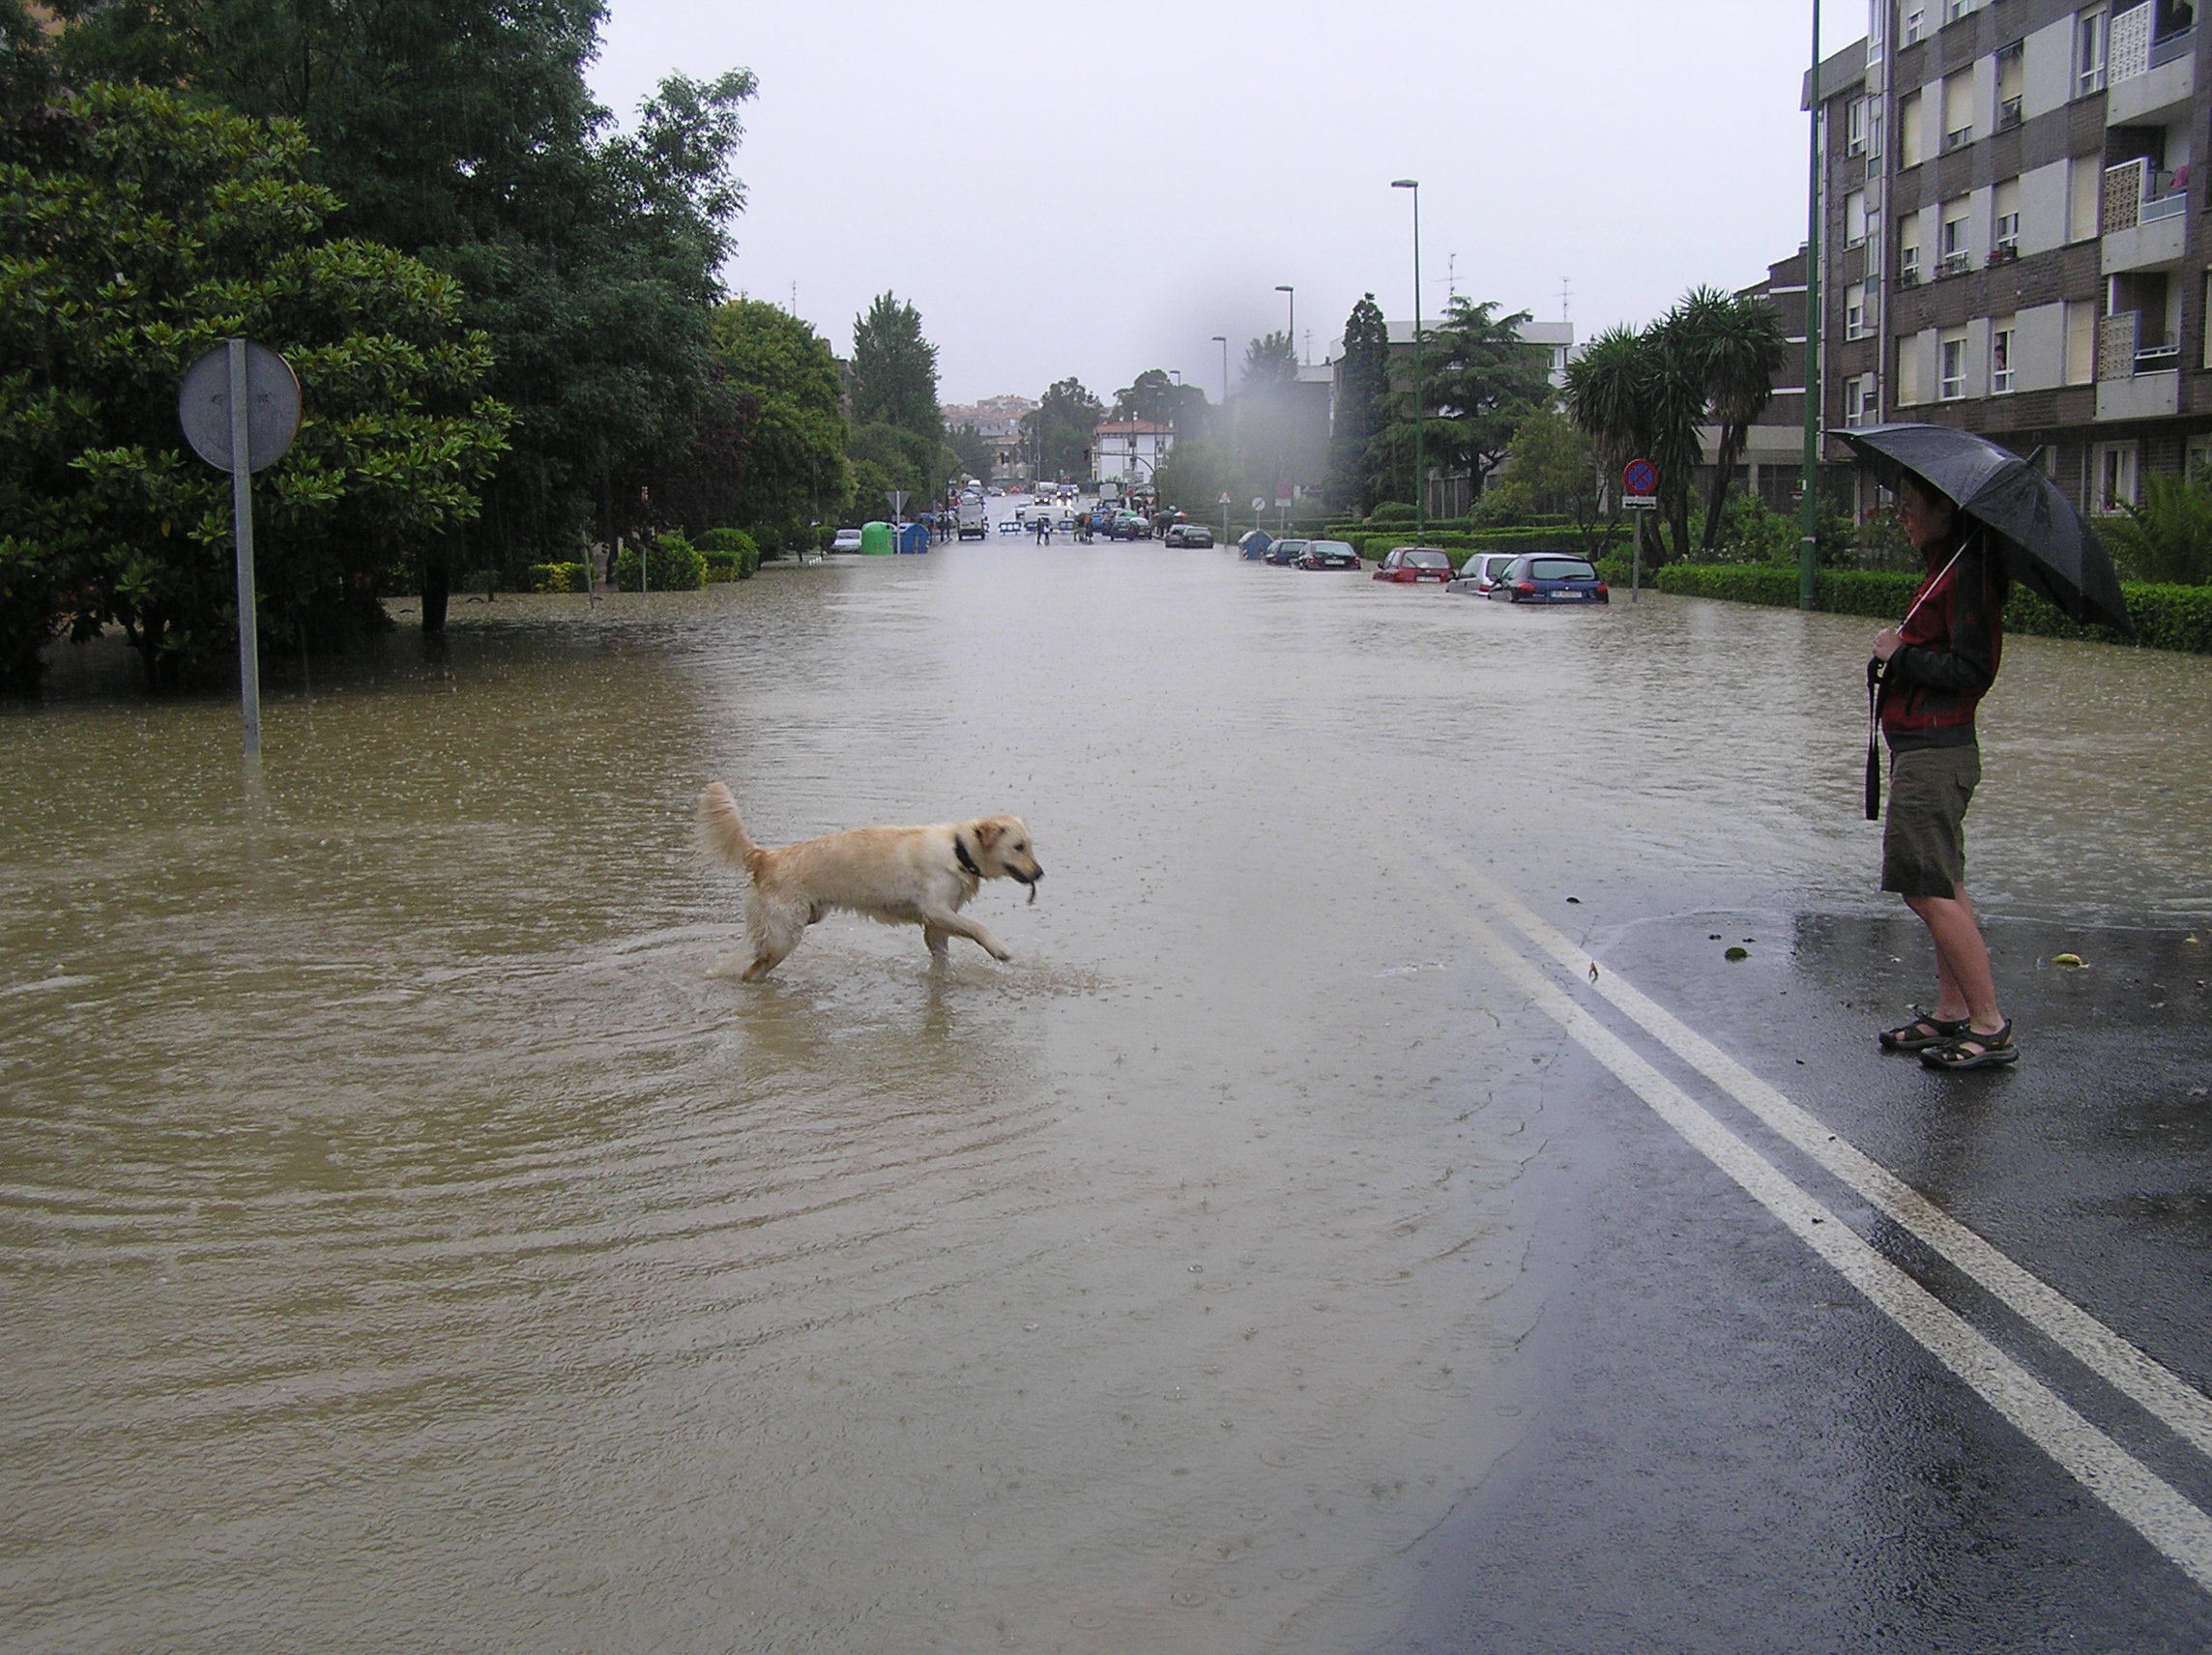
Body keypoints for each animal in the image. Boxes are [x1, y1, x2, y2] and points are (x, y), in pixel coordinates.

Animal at [694, 783, 1039, 977]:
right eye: (1018, 847)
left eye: (1030, 845)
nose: (1040, 873)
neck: (959, 851)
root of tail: (765, 857)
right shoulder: (936, 910)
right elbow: (977, 927)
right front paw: (999, 950)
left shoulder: (937, 924)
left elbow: (941, 955)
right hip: (785, 933)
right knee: (753, 969)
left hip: (804, 918)